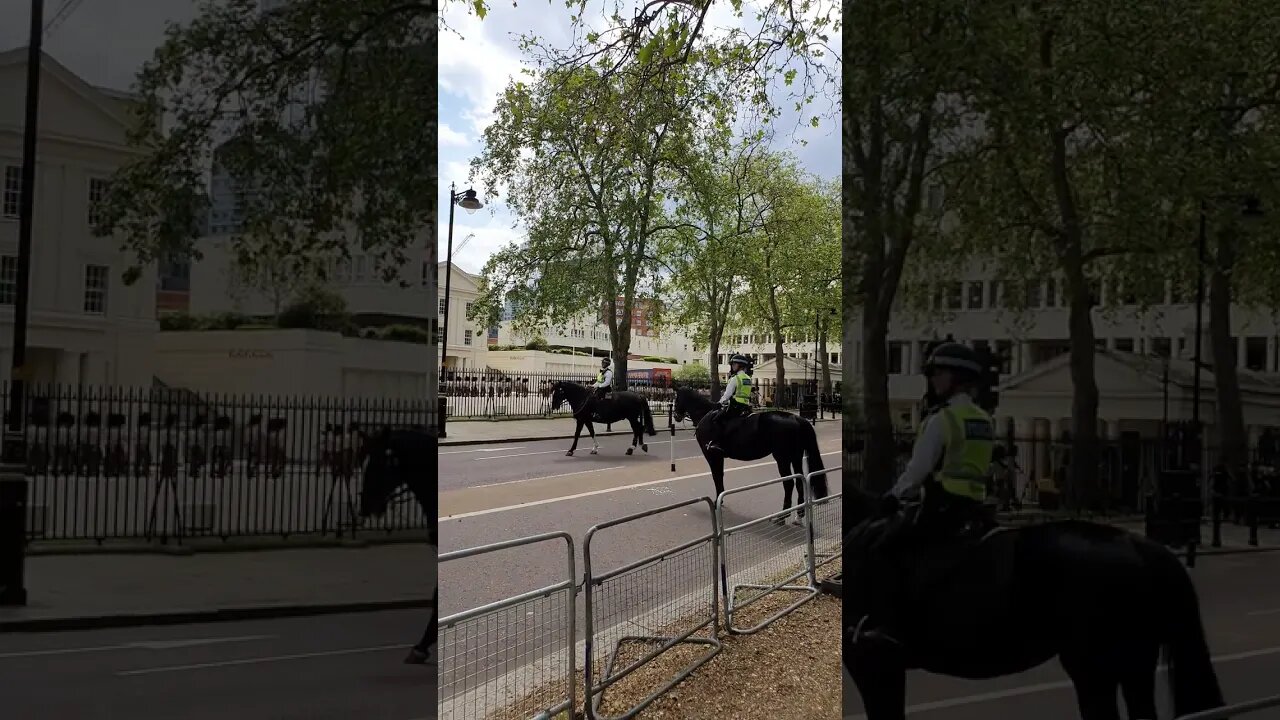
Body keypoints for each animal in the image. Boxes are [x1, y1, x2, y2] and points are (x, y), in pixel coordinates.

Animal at [670, 384, 829, 517]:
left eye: (676, 399)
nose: (676, 416)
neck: (705, 414)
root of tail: (797, 419)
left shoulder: (711, 454)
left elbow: (716, 476)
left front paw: (716, 502)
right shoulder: (718, 456)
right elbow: (720, 475)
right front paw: (720, 500)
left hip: (782, 458)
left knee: (788, 483)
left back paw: (783, 515)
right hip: (795, 457)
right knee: (799, 480)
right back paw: (800, 512)